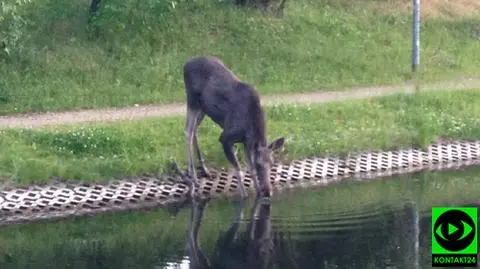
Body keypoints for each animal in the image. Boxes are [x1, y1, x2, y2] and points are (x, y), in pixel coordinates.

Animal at [182, 55, 284, 198]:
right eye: (259, 164)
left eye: (272, 163)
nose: (268, 191)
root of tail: (186, 63)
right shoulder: (225, 137)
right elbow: (239, 170)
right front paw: (245, 195)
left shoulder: (246, 142)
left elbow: (249, 168)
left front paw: (258, 191)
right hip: (192, 101)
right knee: (188, 131)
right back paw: (193, 175)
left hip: (203, 109)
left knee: (195, 129)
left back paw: (204, 169)